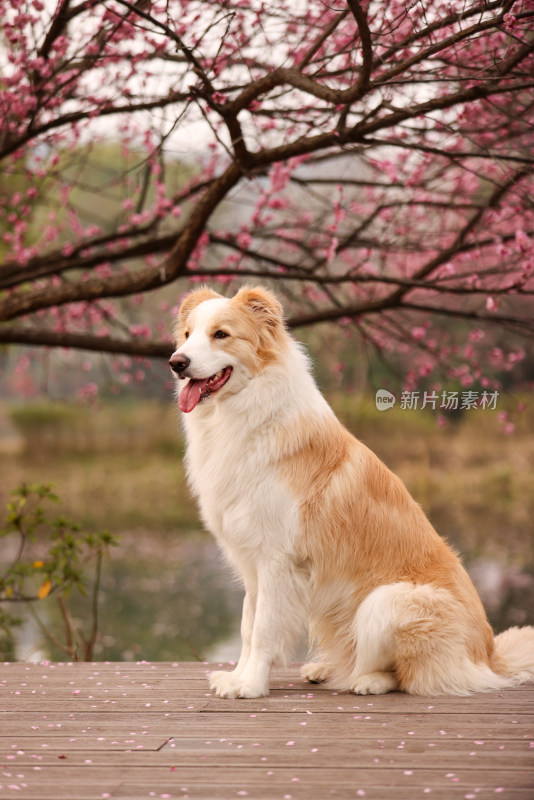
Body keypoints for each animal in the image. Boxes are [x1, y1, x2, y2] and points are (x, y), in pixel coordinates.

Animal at [170, 284, 534, 696]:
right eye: (187, 335)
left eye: (221, 334)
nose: (176, 362)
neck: (245, 412)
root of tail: (489, 656)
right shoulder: (252, 563)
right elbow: (248, 626)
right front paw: (237, 676)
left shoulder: (278, 560)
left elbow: (263, 630)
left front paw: (249, 685)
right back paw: (326, 669)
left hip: (386, 601)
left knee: (406, 674)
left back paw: (367, 681)